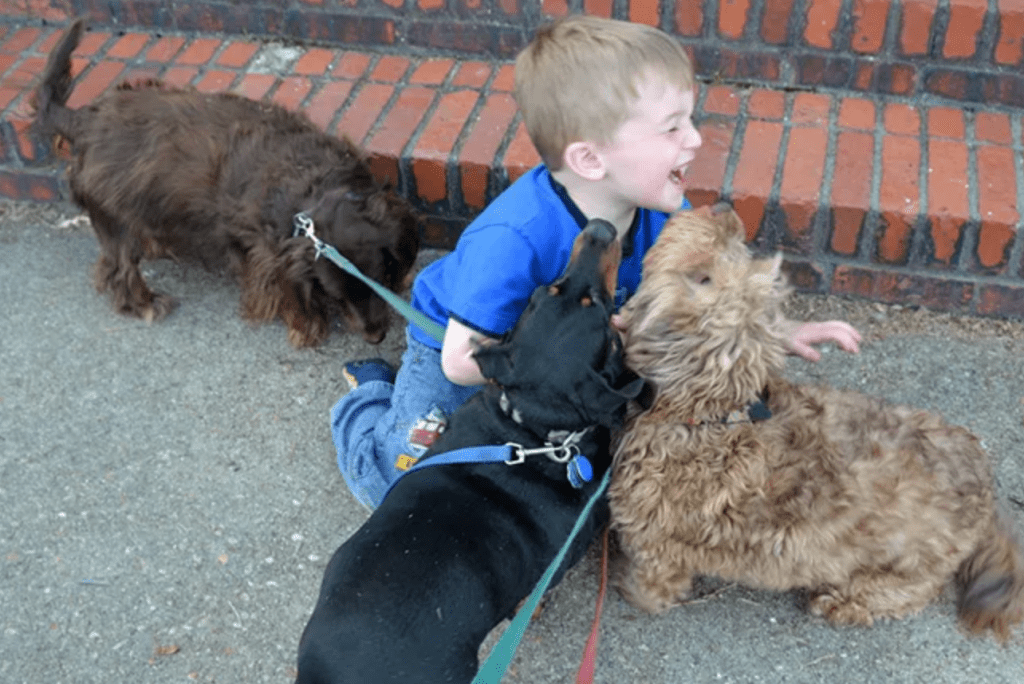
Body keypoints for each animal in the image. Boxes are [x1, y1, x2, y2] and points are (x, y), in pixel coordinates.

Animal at [35, 18, 419, 350]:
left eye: (383, 279)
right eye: (335, 295)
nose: (376, 337)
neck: (313, 190)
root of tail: (81, 121)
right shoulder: (268, 257)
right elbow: (288, 295)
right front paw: (308, 327)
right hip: (114, 216)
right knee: (117, 270)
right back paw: (145, 302)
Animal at [606, 202, 1024, 643]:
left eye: (704, 277)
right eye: (715, 268)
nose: (722, 209)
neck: (708, 417)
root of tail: (986, 492)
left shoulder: (656, 551)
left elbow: (649, 589)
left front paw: (623, 583)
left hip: (908, 565)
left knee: (906, 592)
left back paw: (840, 603)